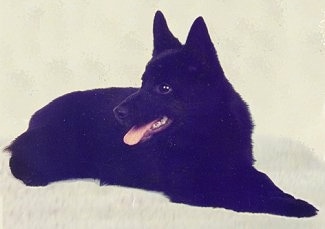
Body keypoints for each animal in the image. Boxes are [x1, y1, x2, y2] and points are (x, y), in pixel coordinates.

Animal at [6, 11, 316, 218]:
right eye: (142, 82)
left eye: (163, 88)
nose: (118, 112)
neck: (207, 132)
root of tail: (35, 117)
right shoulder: (197, 188)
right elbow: (244, 197)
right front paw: (292, 206)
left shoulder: (240, 168)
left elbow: (264, 181)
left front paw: (286, 196)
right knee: (16, 161)